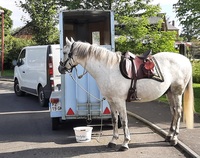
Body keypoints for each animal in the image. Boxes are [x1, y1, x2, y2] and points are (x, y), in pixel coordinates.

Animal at [58, 37, 193, 152]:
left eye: (64, 52)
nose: (60, 68)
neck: (108, 69)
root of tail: (185, 60)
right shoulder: (111, 101)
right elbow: (114, 120)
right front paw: (113, 141)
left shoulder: (120, 101)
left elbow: (123, 121)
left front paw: (125, 143)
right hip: (169, 93)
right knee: (173, 112)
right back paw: (169, 136)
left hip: (177, 92)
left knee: (178, 112)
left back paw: (174, 139)